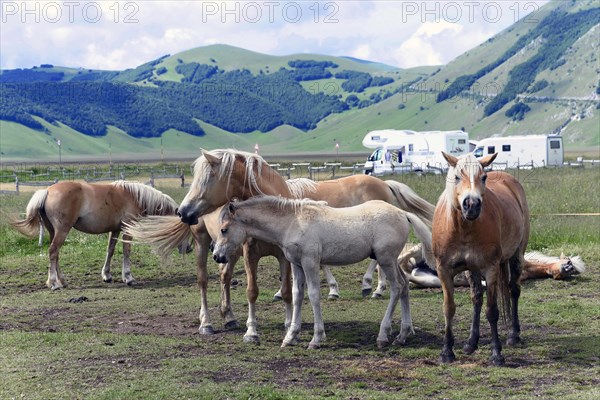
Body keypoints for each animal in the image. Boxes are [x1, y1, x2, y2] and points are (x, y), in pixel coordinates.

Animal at [10, 180, 182, 290]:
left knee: (55, 254)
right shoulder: (128, 229)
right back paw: (53, 283)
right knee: (53, 251)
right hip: (62, 230)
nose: (185, 249)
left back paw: (63, 281)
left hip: (53, 231)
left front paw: (107, 275)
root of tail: (47, 191)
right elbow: (127, 251)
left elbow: (110, 250)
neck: (134, 196)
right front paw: (128, 277)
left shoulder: (116, 229)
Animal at [213, 195, 434, 348]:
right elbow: (297, 295)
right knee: (404, 285)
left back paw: (383, 336)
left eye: (224, 229)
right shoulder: (296, 264)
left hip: (385, 259)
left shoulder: (310, 261)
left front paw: (316, 338)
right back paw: (402, 335)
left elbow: (313, 295)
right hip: (391, 260)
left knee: (396, 287)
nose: (216, 256)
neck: (292, 221)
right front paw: (290, 337)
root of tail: (403, 213)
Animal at [432, 152, 528, 366]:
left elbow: (492, 311)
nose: (472, 205)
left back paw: (513, 335)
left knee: (514, 290)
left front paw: (496, 354)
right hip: (472, 270)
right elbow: (448, 308)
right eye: (457, 177)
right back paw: (471, 342)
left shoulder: (491, 269)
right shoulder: (444, 271)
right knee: (476, 298)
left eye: (483, 177)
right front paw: (446, 352)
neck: (463, 229)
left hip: (516, 256)